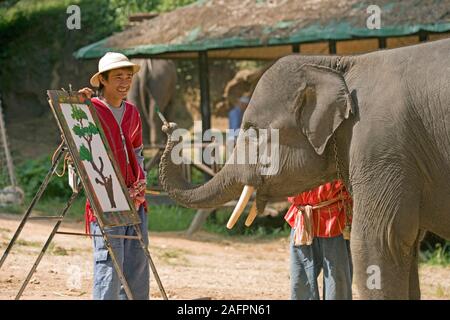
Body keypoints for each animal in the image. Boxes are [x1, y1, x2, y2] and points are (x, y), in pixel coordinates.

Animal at [159, 38, 450, 300]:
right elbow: (406, 245)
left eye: (252, 130)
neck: (339, 65)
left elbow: (379, 243)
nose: (169, 127)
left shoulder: (381, 149)